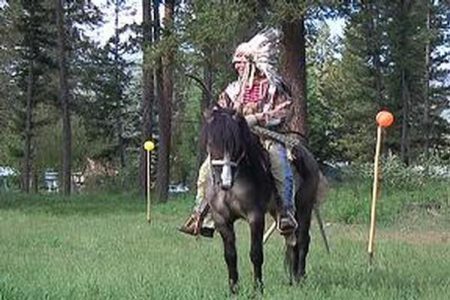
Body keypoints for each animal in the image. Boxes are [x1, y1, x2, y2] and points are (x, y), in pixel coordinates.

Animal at [203, 106, 324, 294]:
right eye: (210, 143)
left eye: (235, 144)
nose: (224, 182)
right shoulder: (222, 219)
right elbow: (230, 255)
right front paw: (233, 290)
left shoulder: (255, 216)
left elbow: (256, 253)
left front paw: (258, 289)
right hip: (280, 212)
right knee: (292, 240)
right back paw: (293, 279)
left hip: (305, 207)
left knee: (303, 240)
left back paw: (300, 278)